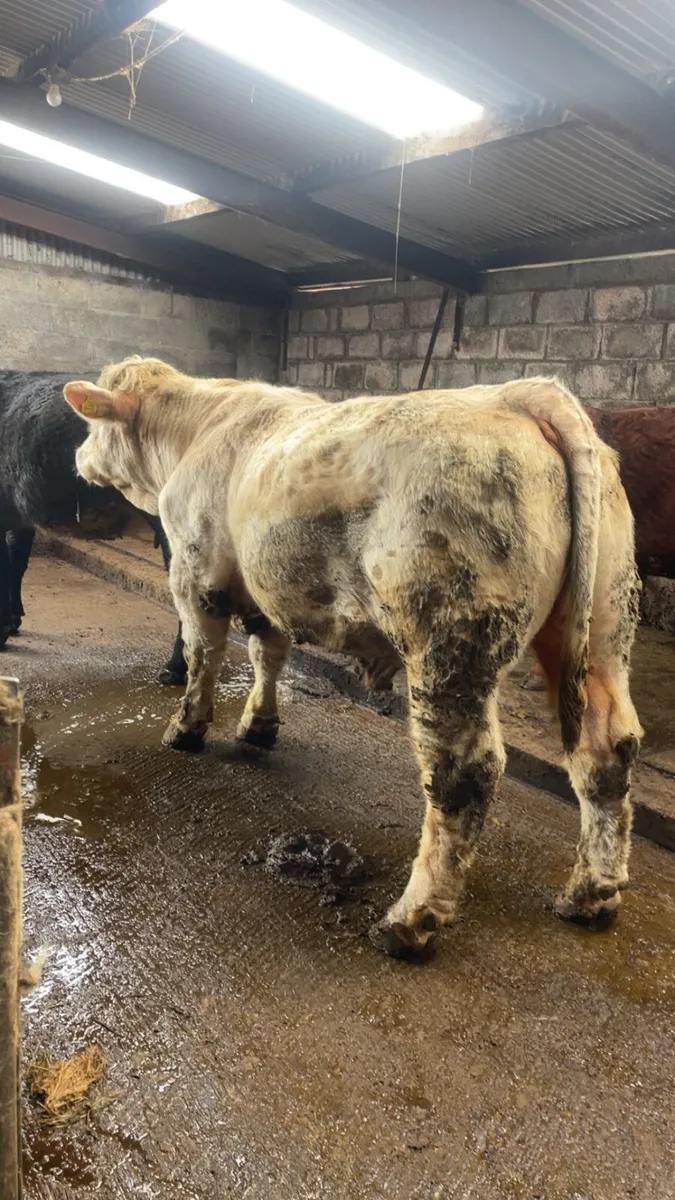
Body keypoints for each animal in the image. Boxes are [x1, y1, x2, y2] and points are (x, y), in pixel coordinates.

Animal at [63, 358, 642, 959]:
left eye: (92, 426)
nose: (77, 457)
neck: (196, 430)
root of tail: (518, 395)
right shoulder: (269, 591)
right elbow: (268, 654)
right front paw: (258, 724)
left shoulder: (197, 578)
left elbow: (205, 656)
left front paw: (186, 729)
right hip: (604, 625)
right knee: (606, 751)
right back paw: (591, 895)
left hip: (448, 642)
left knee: (464, 774)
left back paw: (410, 921)